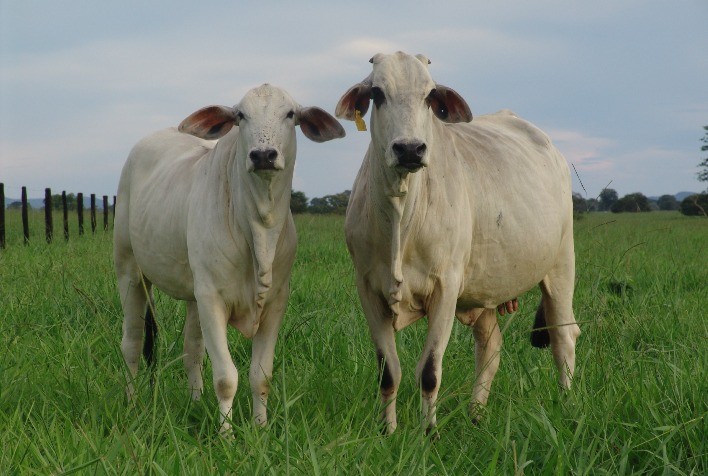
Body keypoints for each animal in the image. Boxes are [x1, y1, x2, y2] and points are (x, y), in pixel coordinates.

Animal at [114, 84, 345, 436]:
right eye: (240, 115)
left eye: (290, 114)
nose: (263, 155)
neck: (259, 228)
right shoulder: (212, 299)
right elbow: (225, 377)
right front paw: (227, 435)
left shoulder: (275, 302)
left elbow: (260, 375)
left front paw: (260, 429)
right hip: (130, 271)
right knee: (132, 343)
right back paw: (131, 403)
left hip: (192, 293)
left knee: (192, 350)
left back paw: (195, 403)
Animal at [335, 52, 580, 435]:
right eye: (377, 93)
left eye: (429, 95)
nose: (409, 149)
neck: (401, 215)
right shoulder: (368, 288)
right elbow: (388, 372)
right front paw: (388, 431)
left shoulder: (445, 288)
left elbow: (429, 371)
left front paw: (428, 433)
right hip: (485, 289)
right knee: (490, 348)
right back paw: (476, 415)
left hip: (561, 266)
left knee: (564, 339)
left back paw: (567, 406)